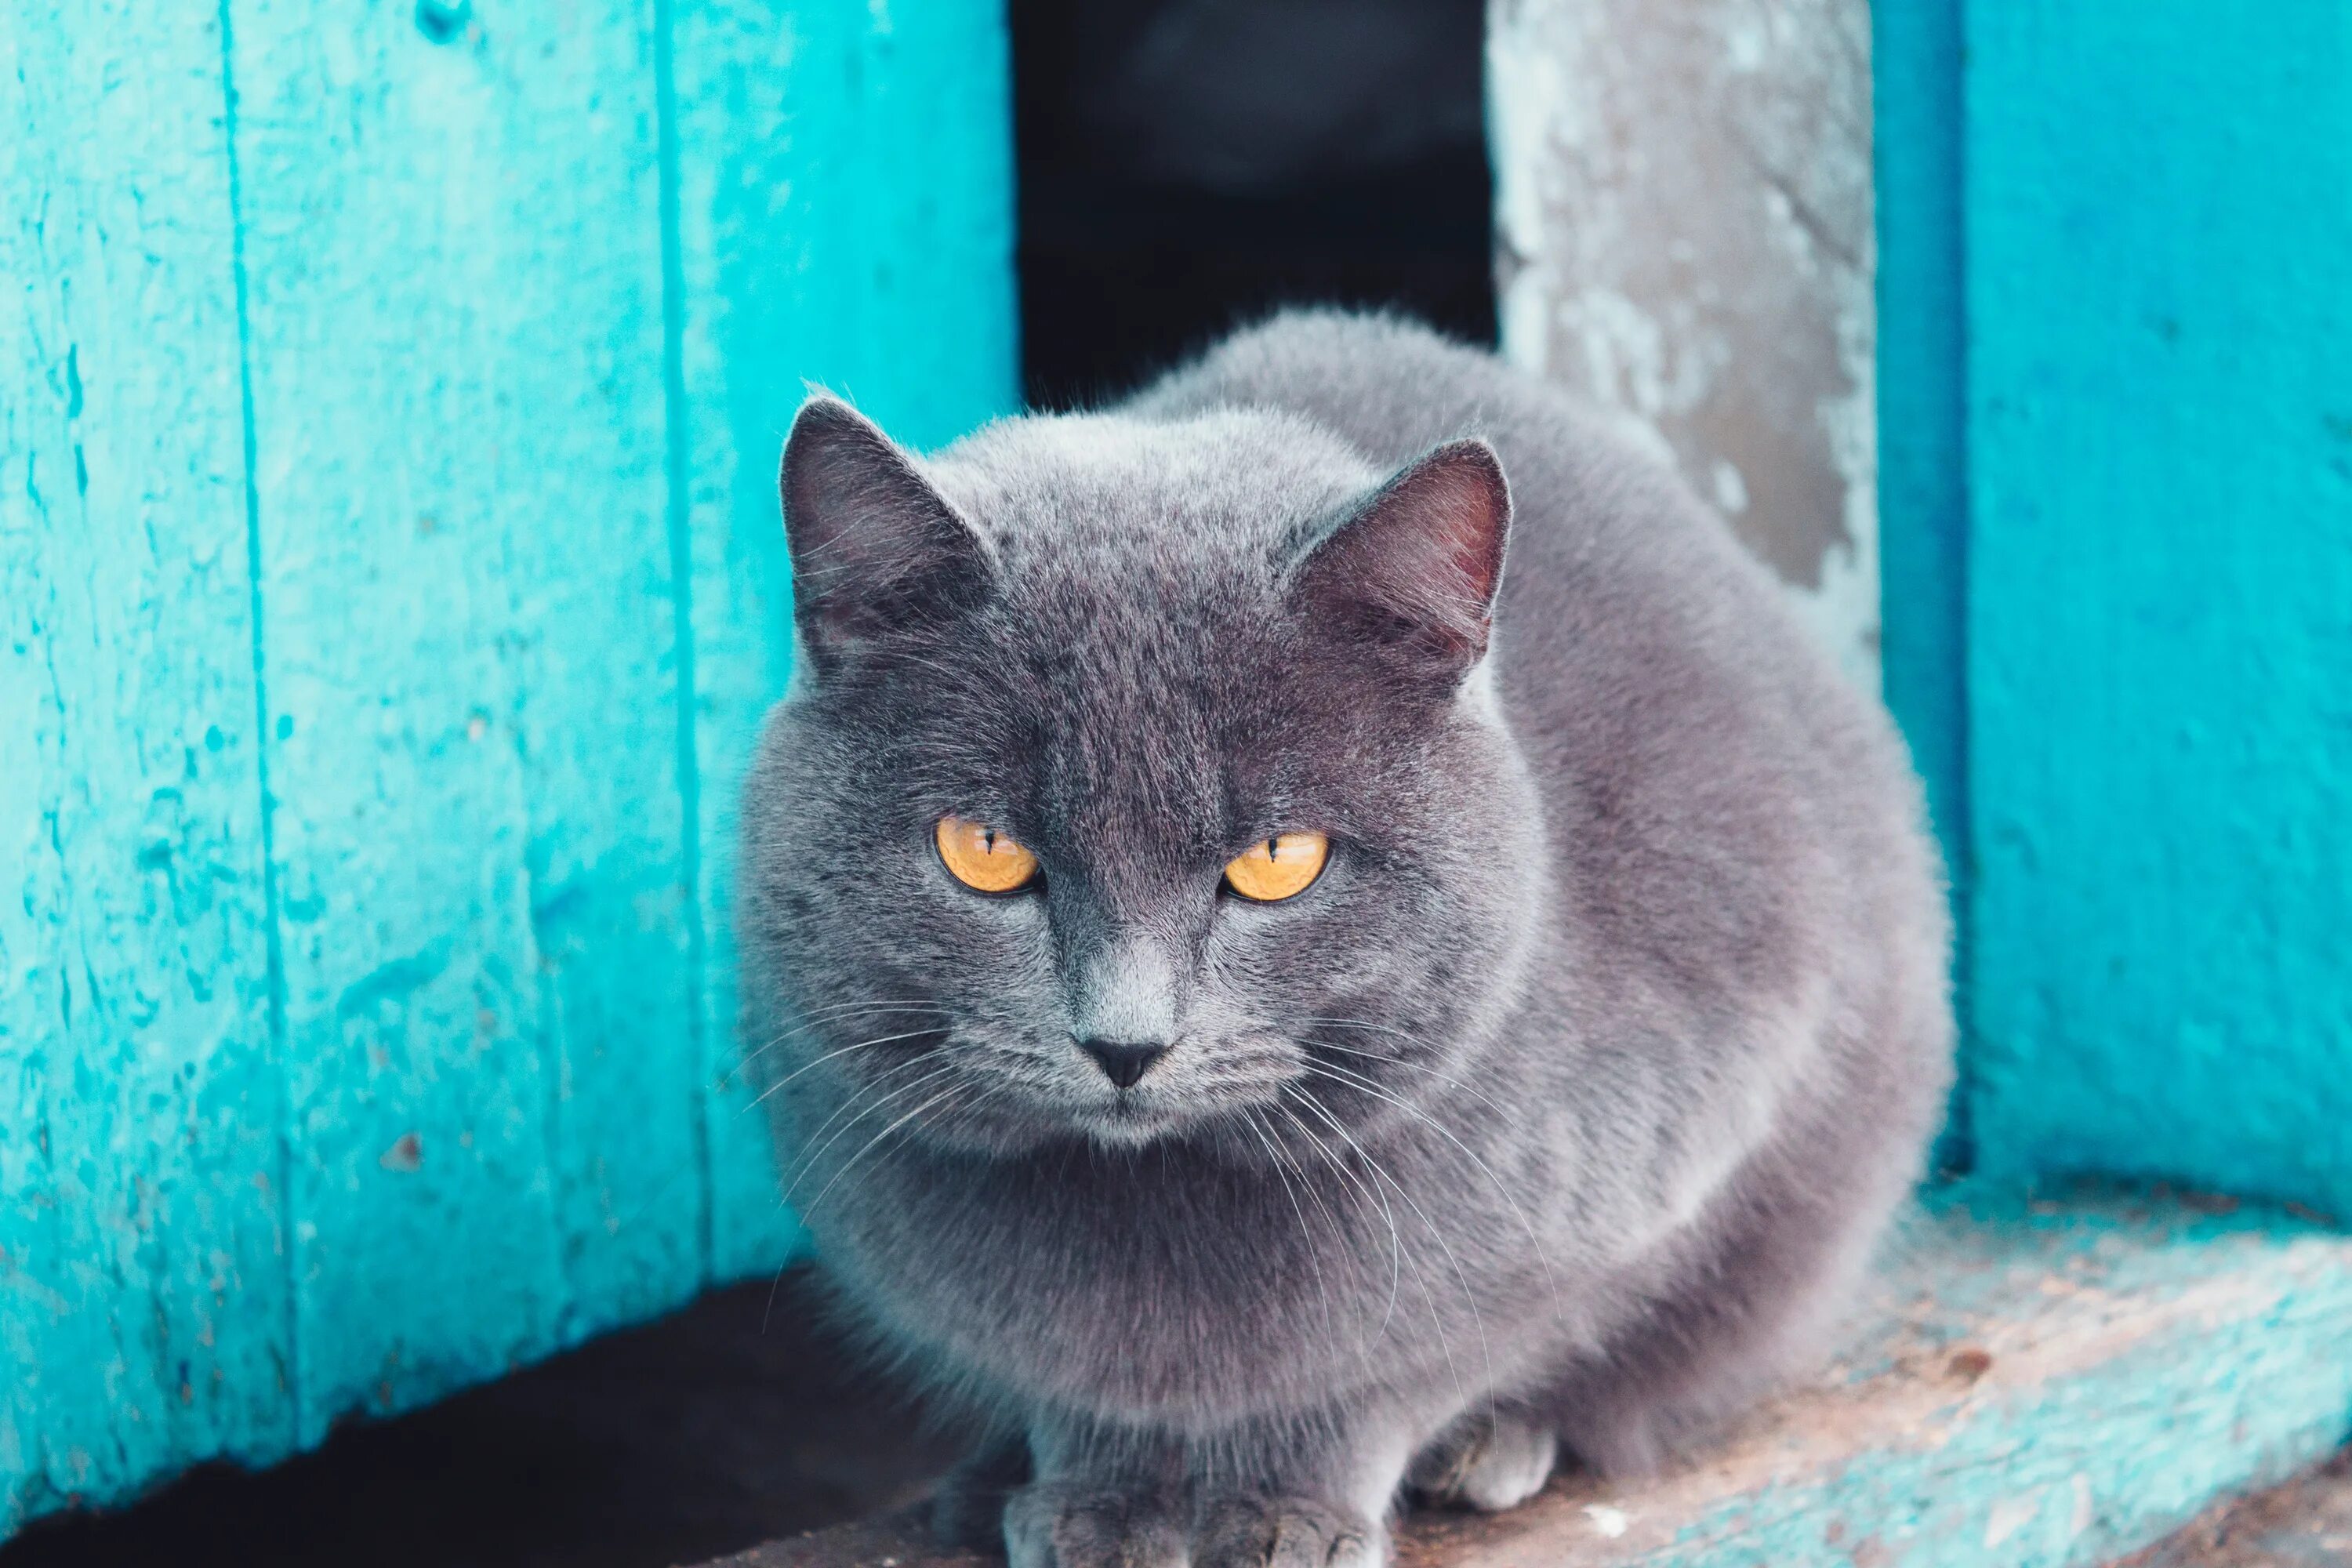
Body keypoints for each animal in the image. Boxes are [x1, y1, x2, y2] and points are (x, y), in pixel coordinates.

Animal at [734, 310, 1947, 1568]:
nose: (1125, 1043)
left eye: (1280, 859)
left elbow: (1390, 1372)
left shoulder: (1671, 1135)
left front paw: (1289, 1511)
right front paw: (1097, 1503)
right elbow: (1081, 1389)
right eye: (984, 849)